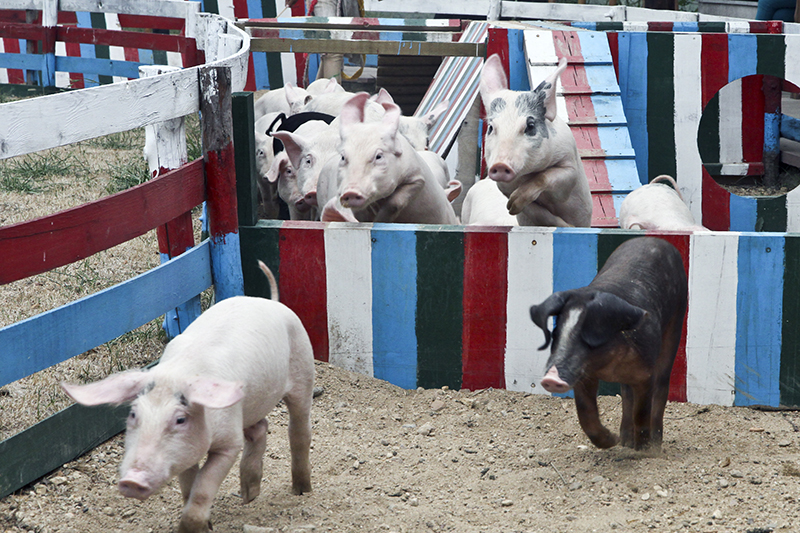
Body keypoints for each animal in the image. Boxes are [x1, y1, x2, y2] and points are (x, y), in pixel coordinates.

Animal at [61, 263, 314, 533]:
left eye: (180, 419)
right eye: (133, 414)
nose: (132, 480)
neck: (176, 375)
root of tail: (271, 302)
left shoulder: (229, 442)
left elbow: (203, 486)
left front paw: (193, 526)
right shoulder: (187, 451)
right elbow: (188, 487)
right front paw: (205, 525)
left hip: (302, 368)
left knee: (299, 430)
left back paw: (301, 490)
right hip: (249, 405)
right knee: (260, 427)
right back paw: (249, 496)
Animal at [333, 93, 459, 224]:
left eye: (379, 156)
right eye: (343, 157)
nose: (351, 191)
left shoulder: (417, 177)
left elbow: (395, 202)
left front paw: (379, 221)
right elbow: (360, 214)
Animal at [480, 54, 592, 227]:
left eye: (530, 126)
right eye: (491, 127)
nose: (500, 165)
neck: (527, 174)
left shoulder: (570, 167)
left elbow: (546, 176)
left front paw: (569, 227)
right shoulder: (503, 187)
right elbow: (536, 212)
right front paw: (512, 205)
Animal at [530, 237, 687, 451]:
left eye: (588, 336)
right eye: (556, 334)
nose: (551, 378)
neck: (609, 367)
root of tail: (652, 238)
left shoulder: (646, 373)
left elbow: (642, 412)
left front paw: (643, 451)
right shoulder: (584, 375)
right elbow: (585, 413)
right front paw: (613, 441)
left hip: (676, 321)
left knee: (661, 387)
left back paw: (654, 443)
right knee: (627, 395)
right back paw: (625, 441)